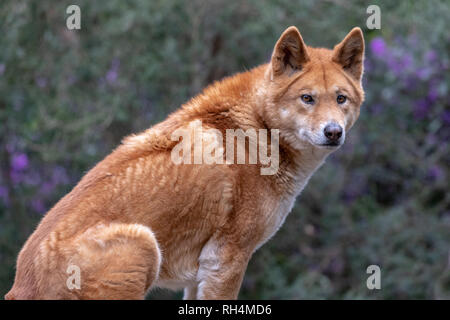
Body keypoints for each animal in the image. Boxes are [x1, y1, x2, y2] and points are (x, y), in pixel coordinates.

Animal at [5, 25, 364, 300]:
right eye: (307, 98)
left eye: (341, 98)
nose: (333, 132)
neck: (261, 130)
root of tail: (21, 285)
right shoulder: (226, 261)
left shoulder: (202, 274)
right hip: (144, 245)